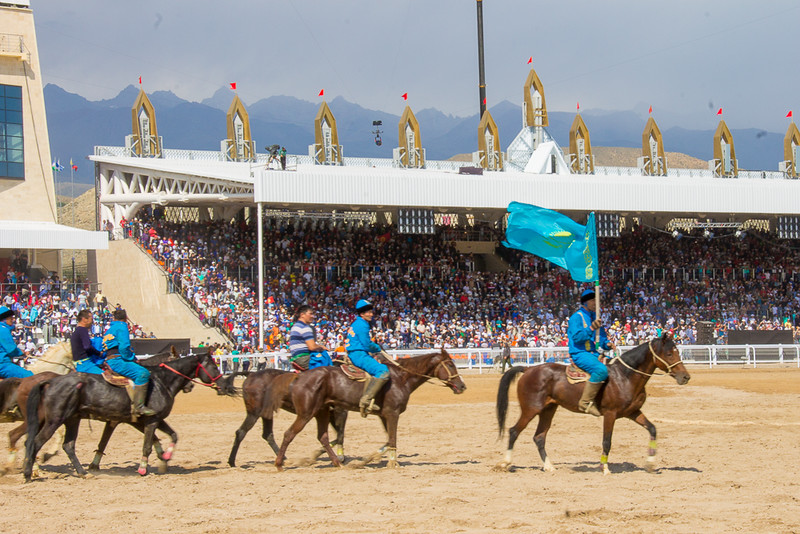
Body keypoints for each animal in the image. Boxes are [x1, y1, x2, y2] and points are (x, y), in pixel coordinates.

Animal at [274, 354, 466, 472]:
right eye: (450, 364)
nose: (462, 386)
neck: (400, 378)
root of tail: (299, 377)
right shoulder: (393, 413)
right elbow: (392, 439)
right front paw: (392, 462)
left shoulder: (384, 415)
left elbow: (388, 440)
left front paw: (367, 459)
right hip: (306, 413)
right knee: (289, 434)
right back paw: (279, 464)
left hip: (321, 412)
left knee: (323, 437)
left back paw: (336, 462)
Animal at [494, 336, 688, 478]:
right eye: (669, 353)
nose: (685, 377)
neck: (625, 376)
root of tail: (528, 370)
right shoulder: (610, 414)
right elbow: (607, 441)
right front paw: (604, 468)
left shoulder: (633, 412)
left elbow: (653, 429)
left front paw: (650, 463)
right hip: (530, 410)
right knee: (514, 431)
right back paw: (505, 463)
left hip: (548, 410)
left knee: (539, 437)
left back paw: (549, 466)